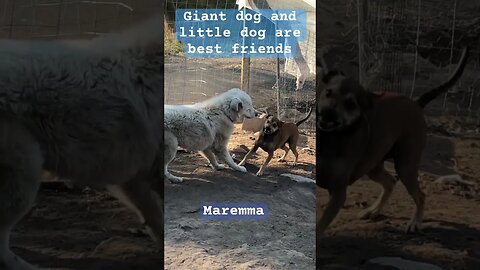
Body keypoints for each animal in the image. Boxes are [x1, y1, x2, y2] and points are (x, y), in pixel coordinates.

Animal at [316, 47, 468, 237]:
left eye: (350, 104)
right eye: (328, 92)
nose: (328, 112)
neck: (330, 139)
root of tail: (416, 104)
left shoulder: (338, 193)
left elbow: (319, 227)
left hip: (405, 167)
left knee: (420, 195)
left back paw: (414, 223)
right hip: (373, 166)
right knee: (390, 182)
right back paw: (373, 211)